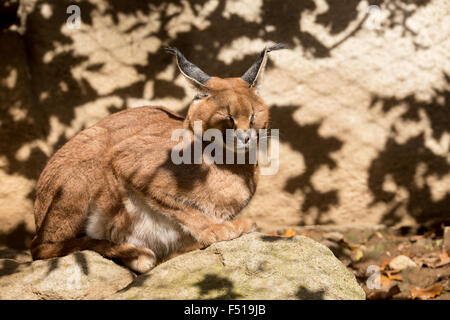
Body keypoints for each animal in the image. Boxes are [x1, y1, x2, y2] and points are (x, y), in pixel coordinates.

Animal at [30, 43, 284, 272]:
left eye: (253, 116)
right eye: (228, 118)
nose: (245, 138)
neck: (229, 162)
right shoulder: (125, 158)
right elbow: (178, 205)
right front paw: (214, 229)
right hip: (89, 154)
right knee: (40, 247)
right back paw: (134, 253)